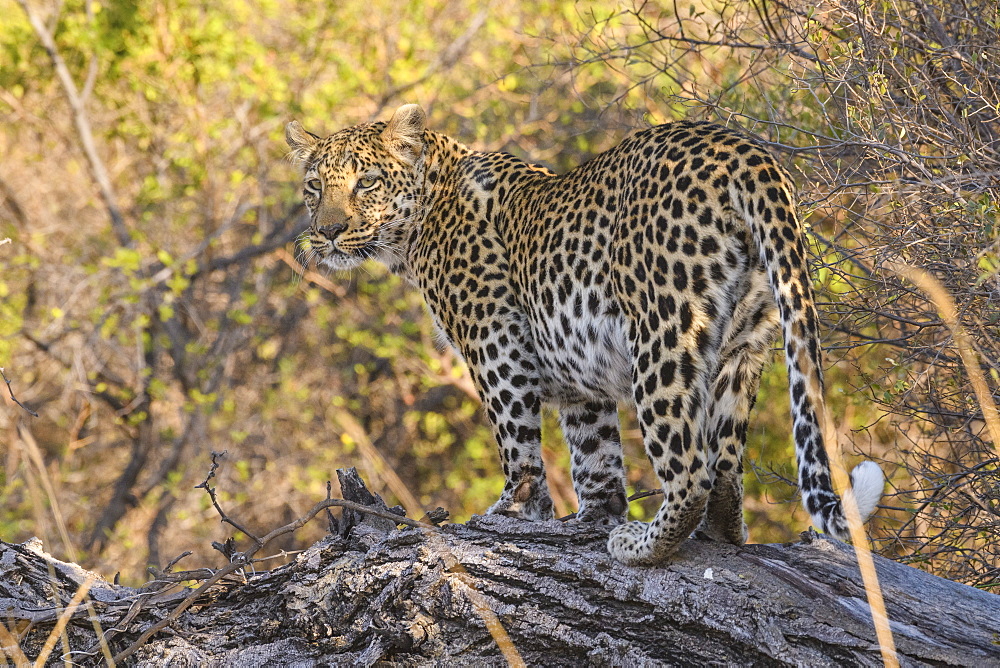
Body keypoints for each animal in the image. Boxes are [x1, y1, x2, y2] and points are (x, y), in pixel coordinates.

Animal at [284, 103, 884, 564]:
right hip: (746, 342)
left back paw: (641, 545)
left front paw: (513, 515)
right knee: (726, 466)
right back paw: (720, 532)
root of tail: (745, 150)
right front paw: (594, 516)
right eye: (314, 187)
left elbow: (516, 444)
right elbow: (595, 454)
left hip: (664, 331)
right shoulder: (577, 378)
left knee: (690, 471)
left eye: (366, 182)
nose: (328, 232)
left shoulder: (495, 343)